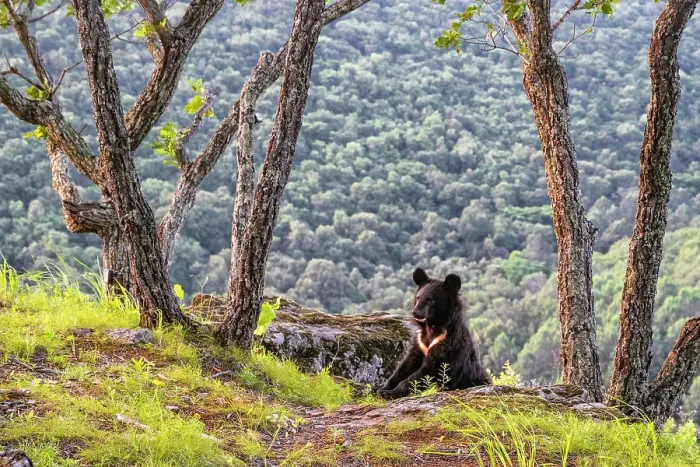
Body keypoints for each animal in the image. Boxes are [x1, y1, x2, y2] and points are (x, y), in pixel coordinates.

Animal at [377, 267, 491, 399]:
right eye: (418, 297)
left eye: (430, 300)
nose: (415, 312)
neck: (431, 327)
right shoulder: (419, 343)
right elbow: (404, 367)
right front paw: (380, 389)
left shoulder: (446, 344)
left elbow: (427, 370)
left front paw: (389, 393)